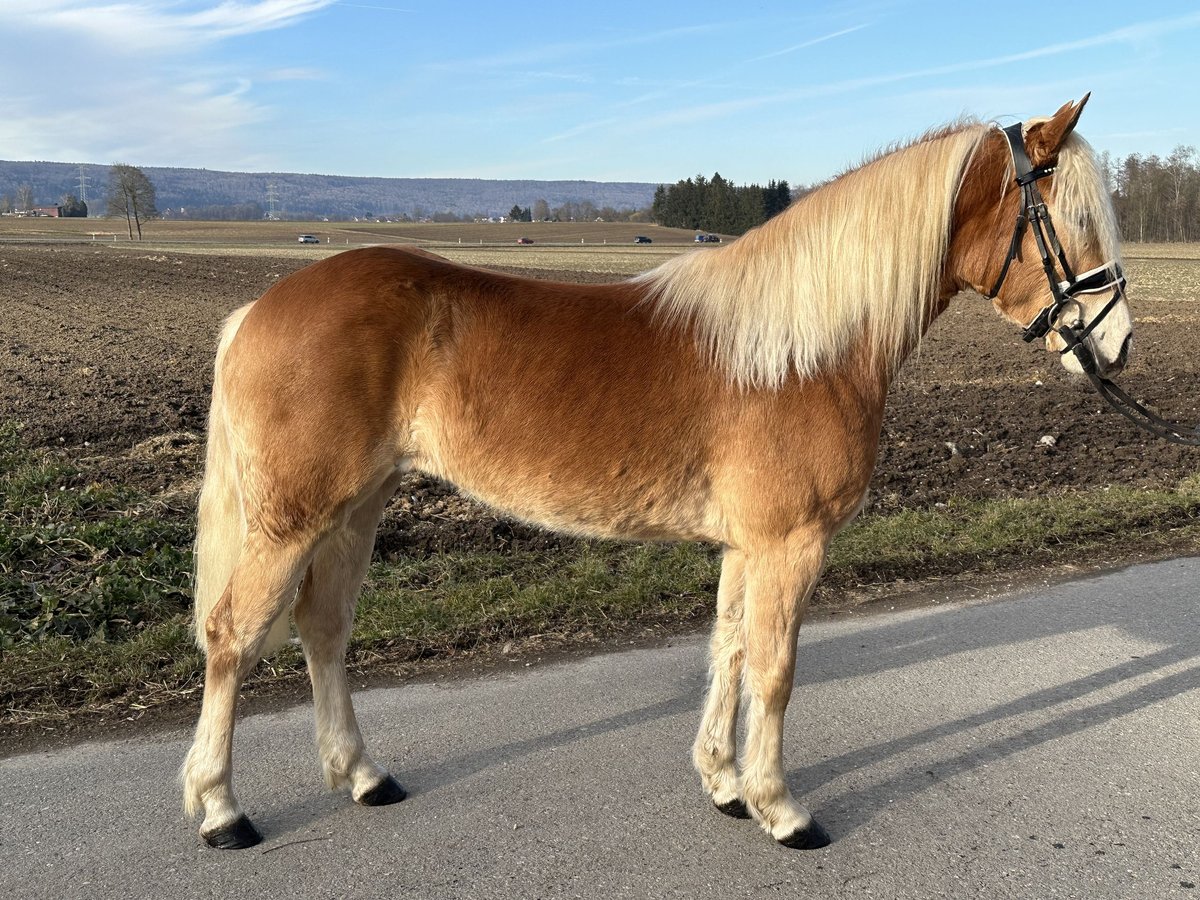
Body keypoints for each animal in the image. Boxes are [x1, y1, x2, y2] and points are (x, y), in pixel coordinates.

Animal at [180, 98, 1132, 854]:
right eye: (1069, 218)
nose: (1117, 343)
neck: (803, 345)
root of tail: (258, 309)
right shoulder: (790, 544)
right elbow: (774, 671)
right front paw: (782, 808)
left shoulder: (750, 546)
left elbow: (730, 649)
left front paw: (723, 783)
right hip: (296, 517)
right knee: (233, 634)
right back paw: (221, 808)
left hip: (356, 508)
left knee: (324, 631)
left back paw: (362, 773)